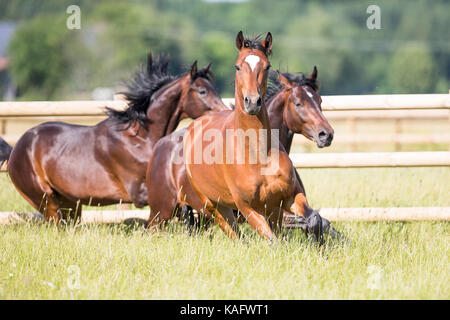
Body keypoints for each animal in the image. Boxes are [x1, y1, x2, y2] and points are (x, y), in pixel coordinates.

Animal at [8, 53, 229, 222]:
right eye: (202, 91)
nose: (225, 113)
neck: (140, 139)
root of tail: (16, 148)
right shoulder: (141, 193)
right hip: (46, 201)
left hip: (70, 203)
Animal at [149, 31, 326, 242]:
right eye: (238, 66)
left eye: (267, 66)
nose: (252, 102)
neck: (257, 154)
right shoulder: (248, 209)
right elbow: (274, 241)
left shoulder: (286, 199)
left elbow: (315, 220)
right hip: (190, 210)